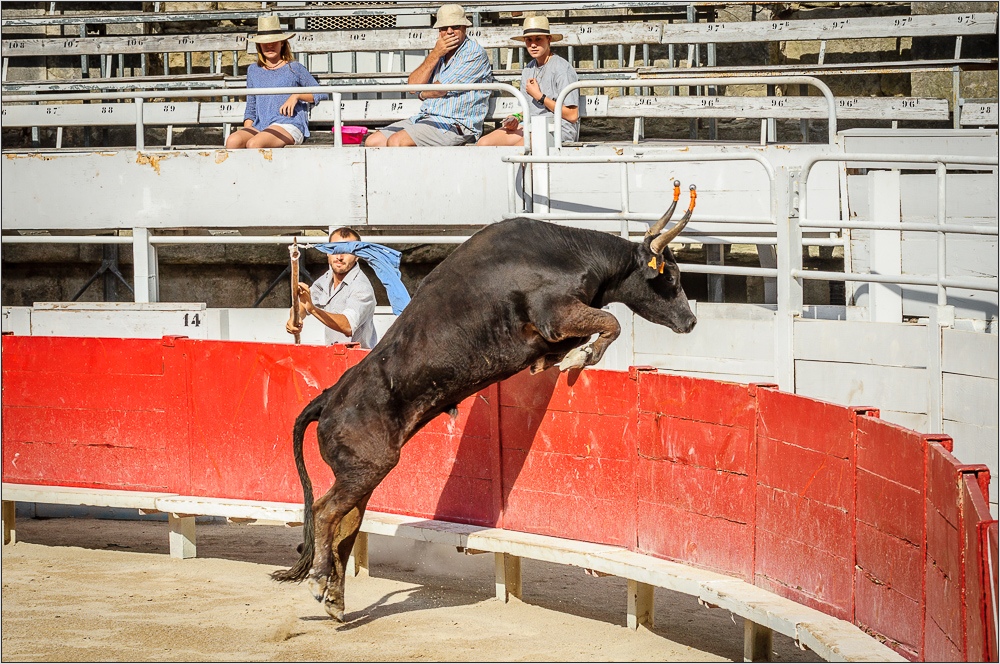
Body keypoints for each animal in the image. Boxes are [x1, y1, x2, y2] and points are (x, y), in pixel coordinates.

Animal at [270, 184, 700, 620]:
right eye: (672, 276)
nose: (691, 321)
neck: (570, 254)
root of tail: (327, 398)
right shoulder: (556, 314)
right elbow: (608, 323)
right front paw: (581, 358)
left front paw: (561, 359)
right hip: (368, 467)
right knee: (325, 511)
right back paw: (320, 583)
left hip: (363, 475)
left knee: (346, 520)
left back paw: (335, 597)